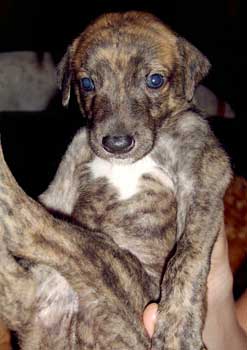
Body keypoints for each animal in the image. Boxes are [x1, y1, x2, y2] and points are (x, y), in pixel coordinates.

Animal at [0, 11, 232, 350]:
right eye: (87, 83)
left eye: (155, 80)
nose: (117, 144)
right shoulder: (69, 172)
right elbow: (50, 200)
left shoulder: (204, 176)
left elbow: (188, 255)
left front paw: (177, 328)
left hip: (110, 264)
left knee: (32, 227)